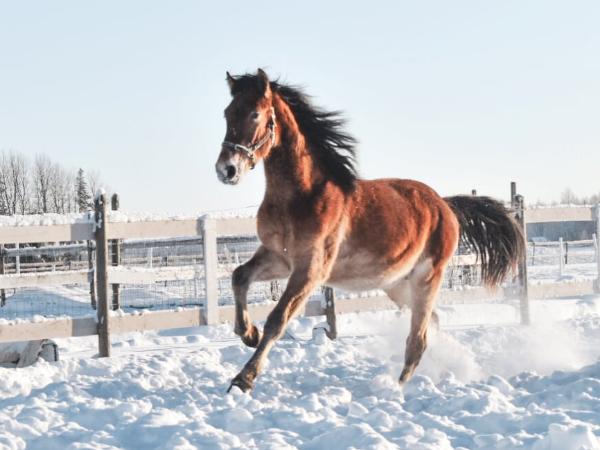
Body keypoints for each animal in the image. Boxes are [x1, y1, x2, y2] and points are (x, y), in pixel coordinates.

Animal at [215, 69, 524, 393]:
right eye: (227, 112)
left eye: (255, 114)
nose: (226, 170)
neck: (301, 196)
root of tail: (445, 206)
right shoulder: (278, 257)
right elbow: (239, 277)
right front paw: (248, 333)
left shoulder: (311, 270)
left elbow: (278, 318)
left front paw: (243, 379)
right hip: (397, 284)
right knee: (433, 323)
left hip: (427, 278)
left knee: (418, 339)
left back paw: (396, 387)